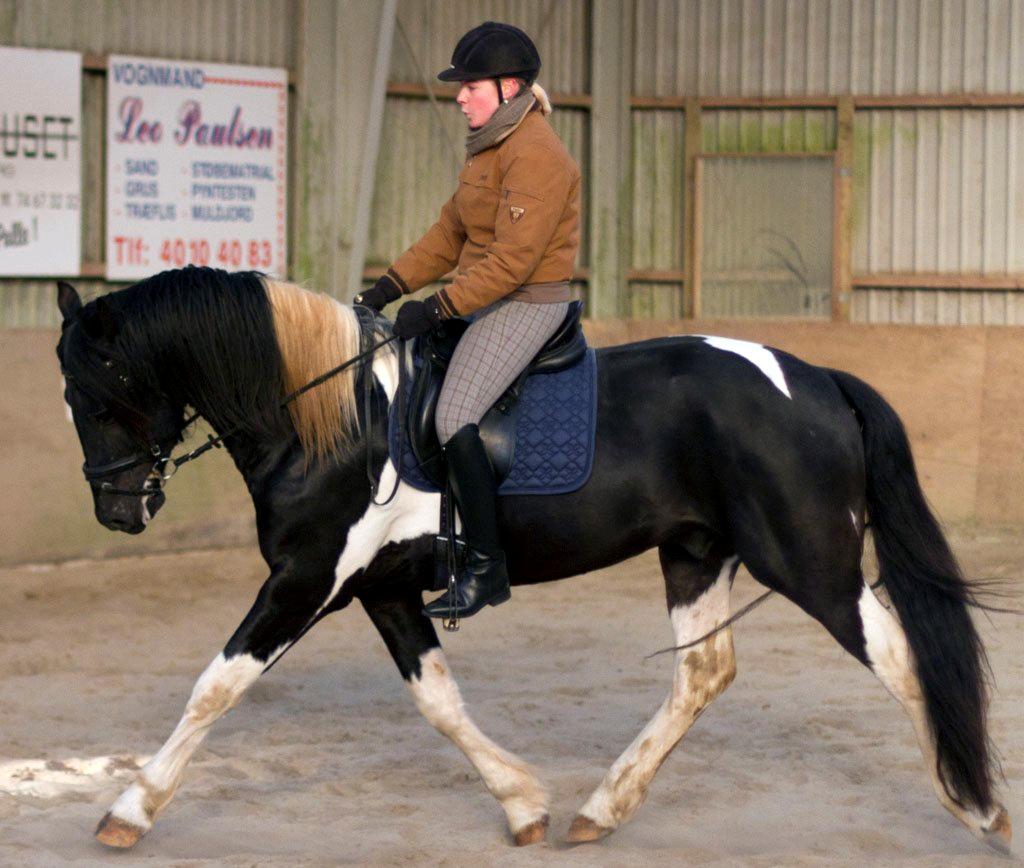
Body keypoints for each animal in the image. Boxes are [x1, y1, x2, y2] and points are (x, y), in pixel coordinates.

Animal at [54, 268, 1007, 851]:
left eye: (98, 393)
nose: (117, 511)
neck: (333, 418)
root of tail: (816, 379)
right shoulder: (384, 589)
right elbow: (438, 701)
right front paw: (523, 804)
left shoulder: (307, 579)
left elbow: (216, 685)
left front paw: (128, 810)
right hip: (697, 552)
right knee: (703, 674)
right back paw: (601, 809)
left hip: (810, 558)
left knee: (901, 659)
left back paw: (979, 808)